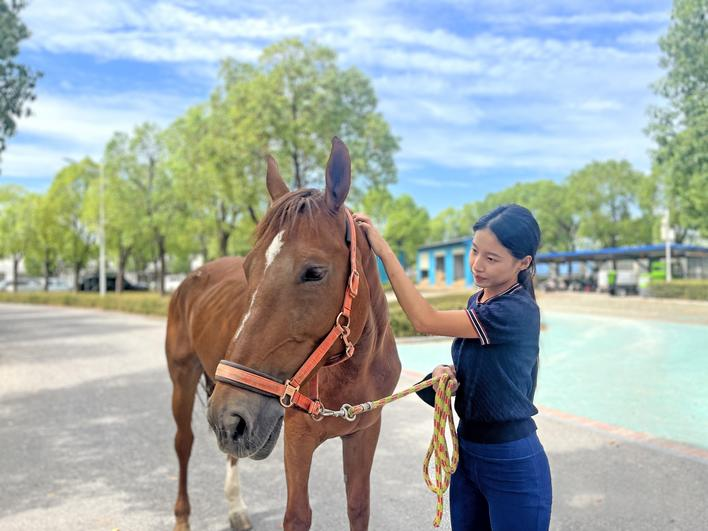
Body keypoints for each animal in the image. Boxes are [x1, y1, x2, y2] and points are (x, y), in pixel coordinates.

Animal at [165, 137, 401, 531]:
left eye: (314, 272)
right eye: (248, 268)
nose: (230, 416)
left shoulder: (365, 430)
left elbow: (358, 506)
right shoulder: (297, 439)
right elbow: (298, 516)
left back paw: (236, 508)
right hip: (186, 380)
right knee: (184, 443)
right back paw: (183, 517)